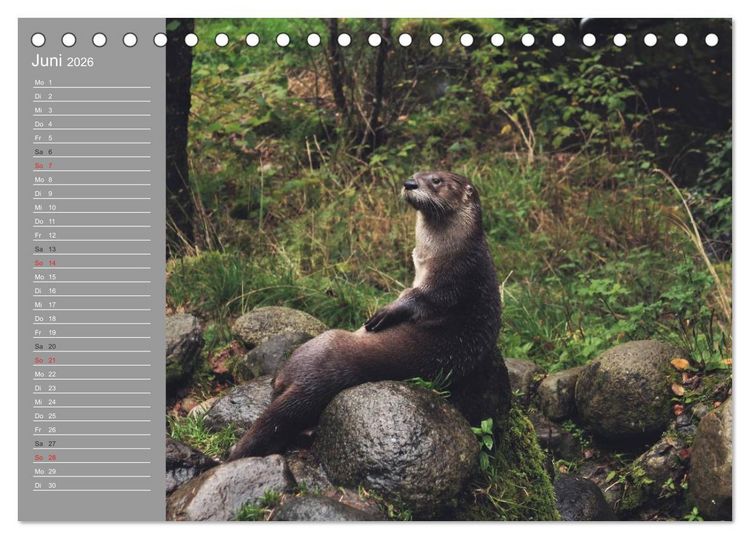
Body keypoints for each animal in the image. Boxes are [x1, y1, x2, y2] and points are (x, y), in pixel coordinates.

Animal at [227, 170, 510, 460]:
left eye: (437, 180)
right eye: (416, 173)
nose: (410, 183)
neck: (450, 251)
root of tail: (311, 383)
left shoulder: (452, 280)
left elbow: (418, 299)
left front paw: (385, 313)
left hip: (319, 345)